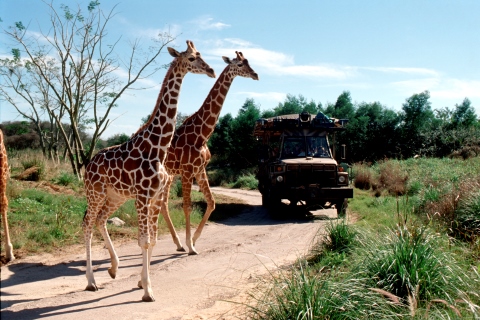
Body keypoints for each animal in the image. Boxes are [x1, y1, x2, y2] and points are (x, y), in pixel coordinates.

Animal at [83, 40, 216, 302]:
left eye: (201, 54)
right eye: (192, 58)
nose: (211, 70)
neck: (158, 146)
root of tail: (88, 166)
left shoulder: (153, 197)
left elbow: (152, 240)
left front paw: (144, 284)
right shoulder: (143, 197)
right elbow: (143, 241)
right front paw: (147, 291)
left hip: (115, 196)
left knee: (101, 220)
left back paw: (113, 269)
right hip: (95, 193)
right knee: (87, 225)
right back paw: (91, 282)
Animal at [161, 51, 258, 254]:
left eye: (248, 61)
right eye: (239, 64)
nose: (256, 75)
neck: (201, 134)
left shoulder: (200, 169)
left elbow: (212, 202)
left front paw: (193, 241)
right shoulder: (188, 170)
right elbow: (187, 206)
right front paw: (191, 246)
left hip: (170, 175)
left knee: (163, 204)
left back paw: (177, 244)